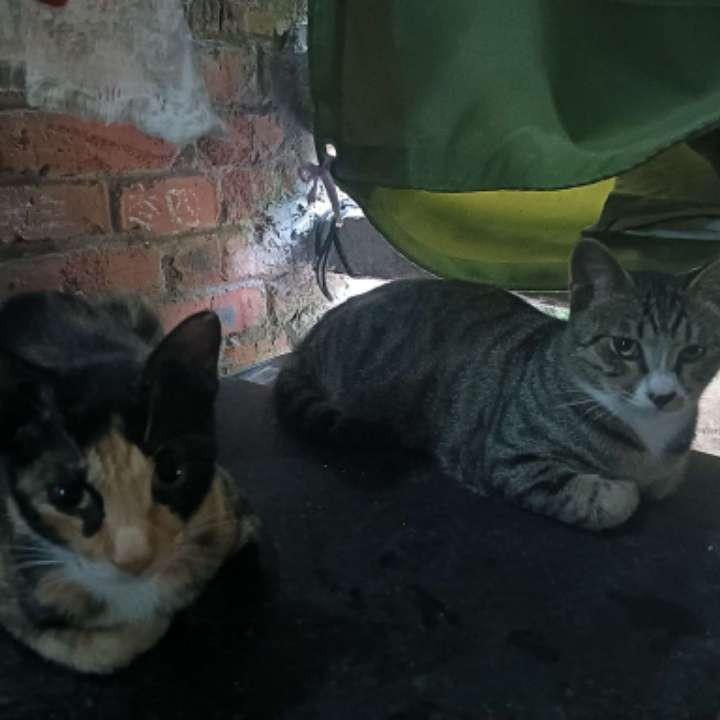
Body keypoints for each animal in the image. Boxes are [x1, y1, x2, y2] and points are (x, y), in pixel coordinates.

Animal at [275, 238, 720, 531]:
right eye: (624, 346)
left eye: (693, 351)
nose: (663, 396)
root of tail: (309, 339)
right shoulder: (509, 457)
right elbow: (613, 499)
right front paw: (621, 490)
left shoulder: (670, 469)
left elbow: (665, 481)